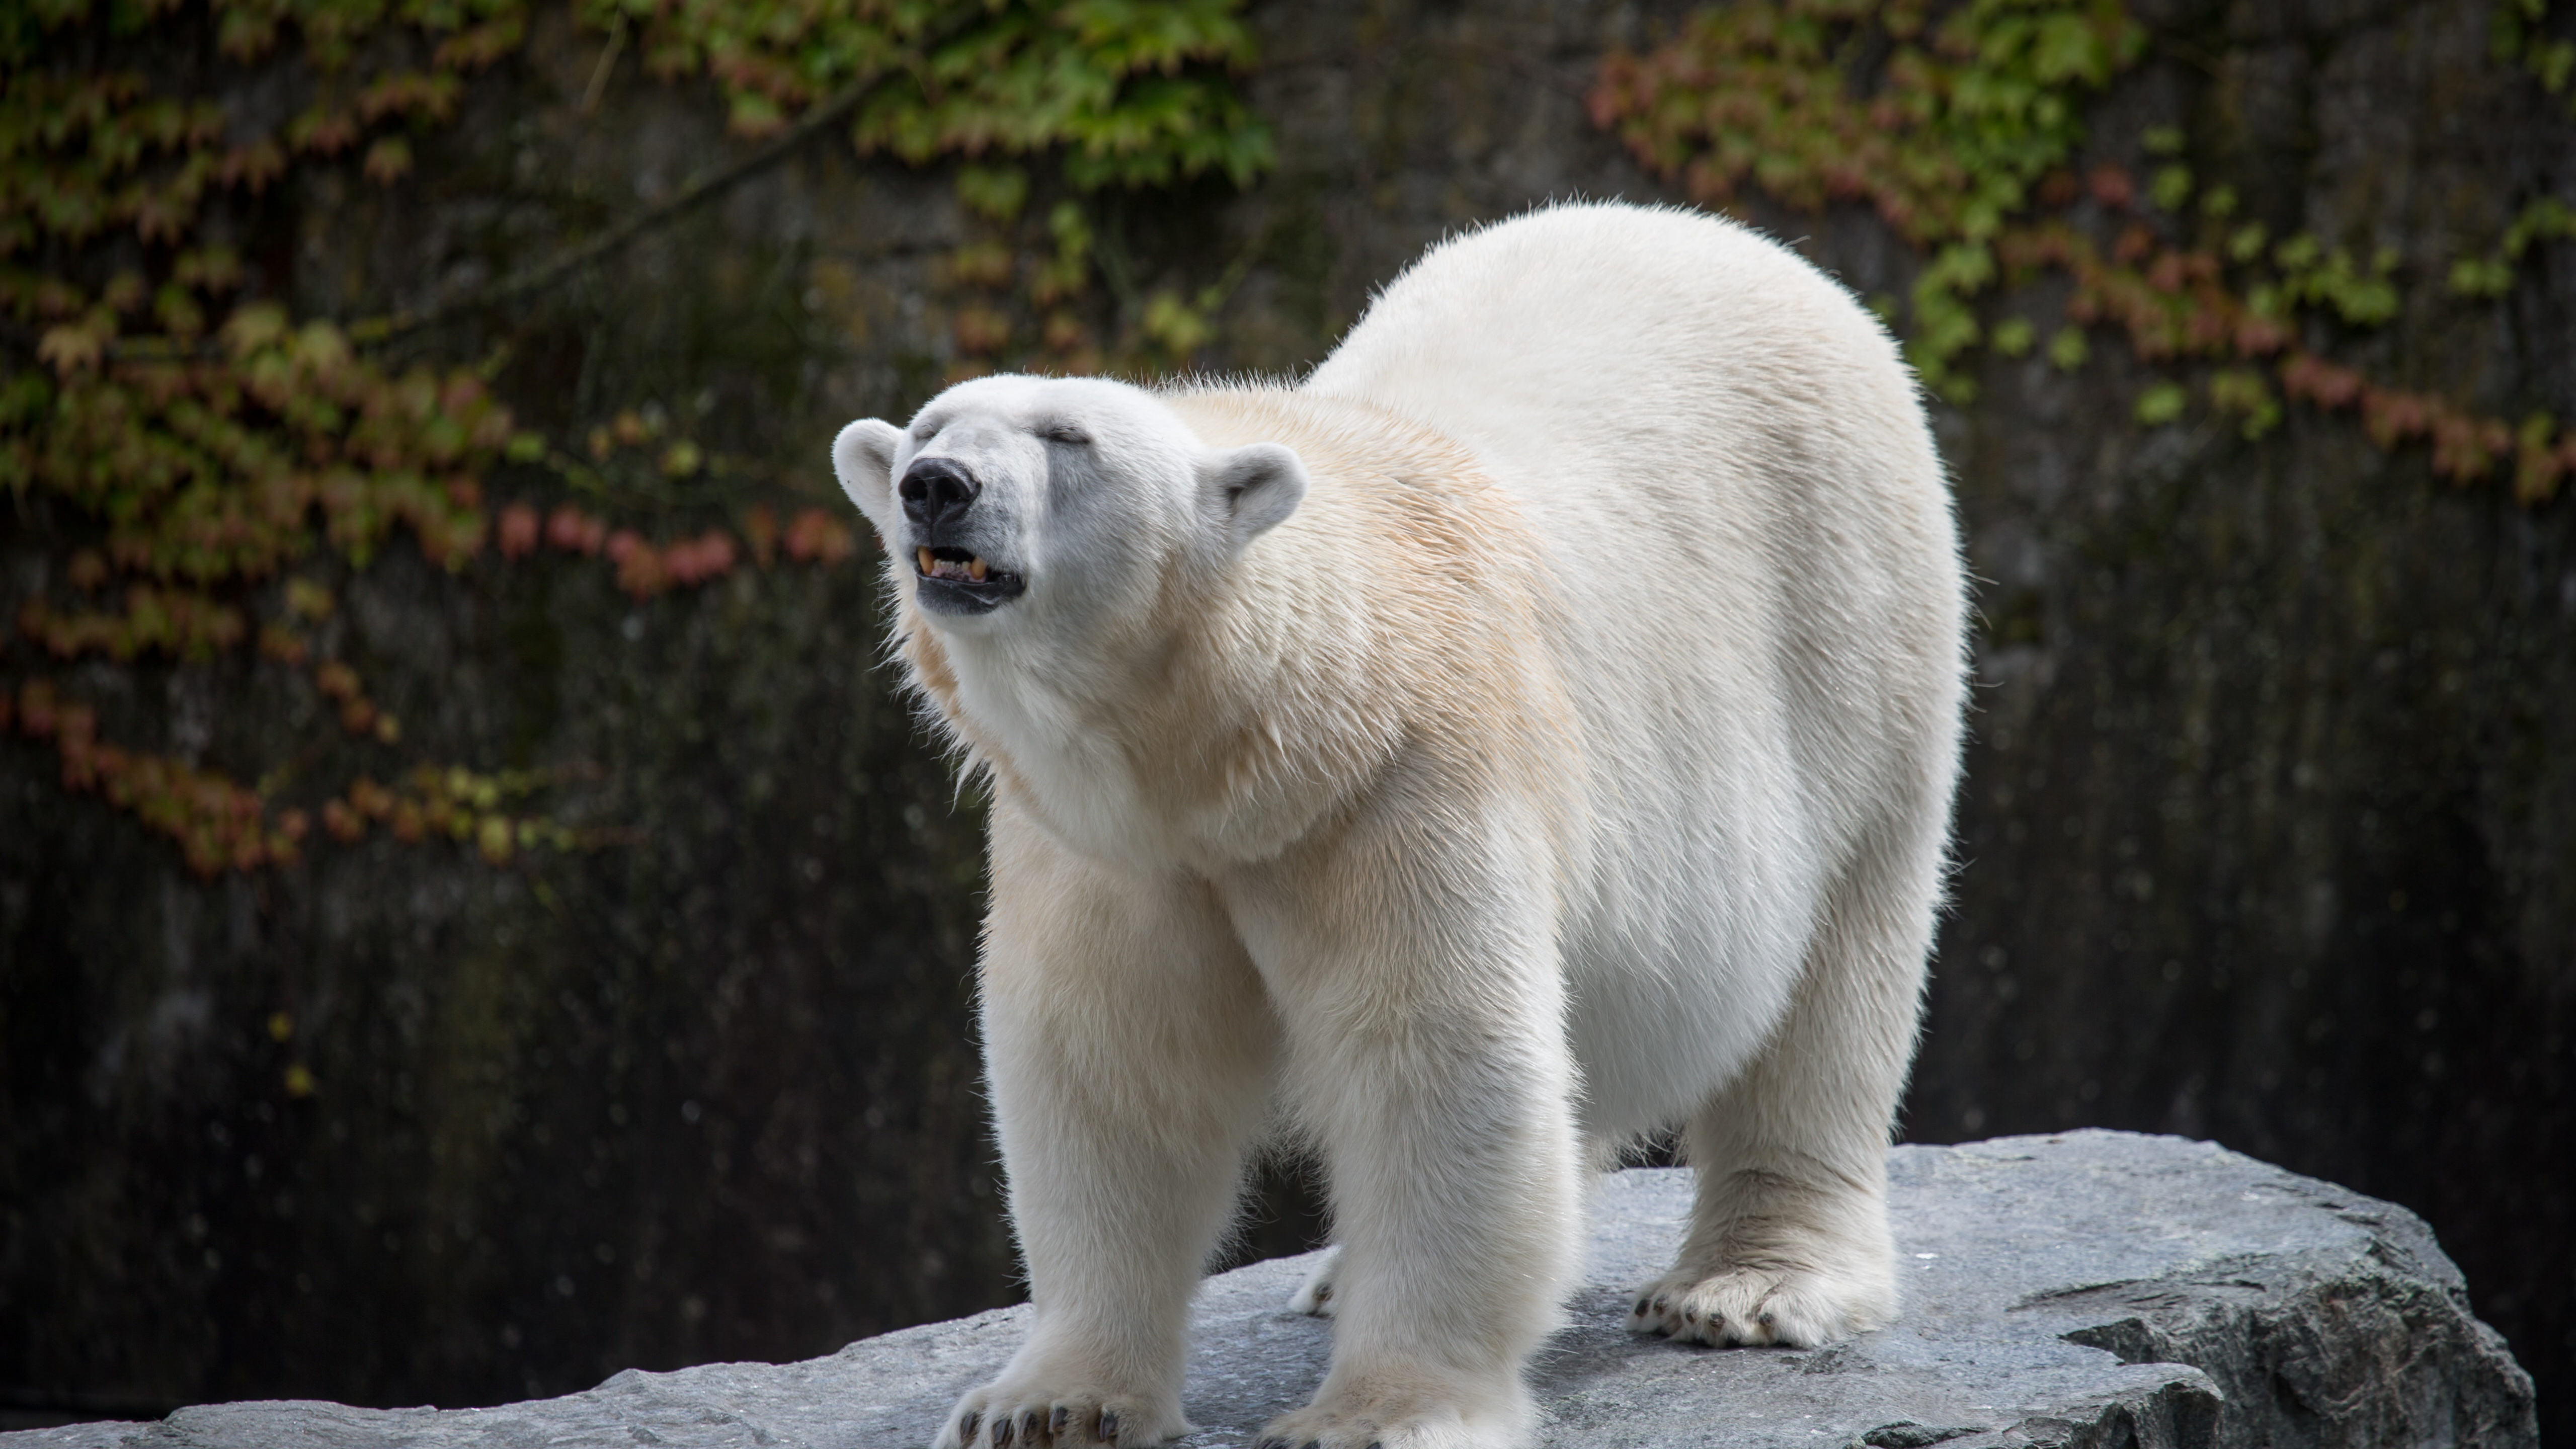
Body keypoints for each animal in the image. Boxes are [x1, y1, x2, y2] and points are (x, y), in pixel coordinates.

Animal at [834, 203, 1958, 1443]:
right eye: (930, 425)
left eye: (1066, 436)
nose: (934, 485)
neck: (1237, 753)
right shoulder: (1105, 844)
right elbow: (1110, 1070)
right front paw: (1045, 1405)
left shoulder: (1396, 789)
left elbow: (1435, 1061)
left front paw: (1376, 1413)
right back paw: (1342, 1274)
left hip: (1853, 628)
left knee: (1836, 972)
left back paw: (1750, 1285)